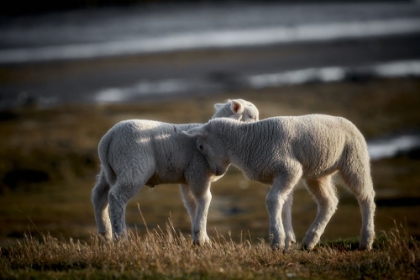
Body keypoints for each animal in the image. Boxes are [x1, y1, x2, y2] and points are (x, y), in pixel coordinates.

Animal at [91, 98, 260, 243]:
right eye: (252, 116)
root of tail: (108, 138)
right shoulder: (198, 173)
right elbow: (205, 200)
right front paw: (201, 238)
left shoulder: (187, 178)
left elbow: (191, 204)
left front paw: (200, 237)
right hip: (133, 166)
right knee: (116, 196)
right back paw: (121, 238)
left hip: (112, 169)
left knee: (99, 195)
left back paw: (105, 234)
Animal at [185, 115, 376, 250]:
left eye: (201, 147)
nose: (215, 173)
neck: (247, 141)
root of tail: (350, 123)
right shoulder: (278, 175)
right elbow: (284, 204)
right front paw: (287, 240)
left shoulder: (290, 169)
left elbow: (272, 200)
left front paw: (277, 240)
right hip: (318, 173)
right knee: (329, 202)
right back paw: (310, 240)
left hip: (354, 160)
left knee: (366, 198)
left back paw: (366, 240)